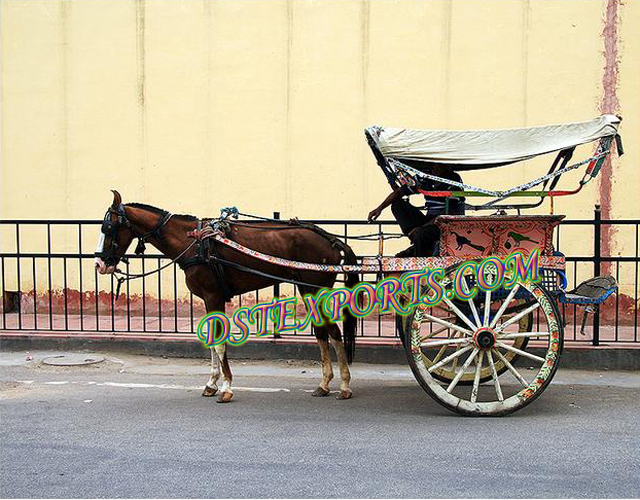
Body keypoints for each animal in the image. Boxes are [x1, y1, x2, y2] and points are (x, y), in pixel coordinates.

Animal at [94, 191, 360, 402]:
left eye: (109, 228)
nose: (99, 263)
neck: (194, 242)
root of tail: (331, 240)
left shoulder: (214, 296)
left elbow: (219, 341)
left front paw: (226, 387)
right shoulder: (208, 299)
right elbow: (211, 340)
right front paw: (212, 383)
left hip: (315, 289)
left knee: (333, 332)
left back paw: (345, 385)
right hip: (308, 289)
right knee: (322, 332)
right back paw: (325, 384)